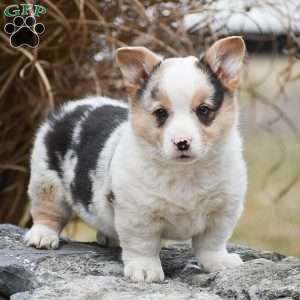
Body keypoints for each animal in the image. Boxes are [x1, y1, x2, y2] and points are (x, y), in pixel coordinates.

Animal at [25, 36, 246, 282]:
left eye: (204, 110)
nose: (182, 142)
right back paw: (42, 236)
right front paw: (145, 271)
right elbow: (143, 245)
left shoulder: (223, 211)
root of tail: (70, 107)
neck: (185, 172)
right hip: (46, 181)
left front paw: (220, 263)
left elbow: (212, 243)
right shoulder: (138, 214)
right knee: (47, 212)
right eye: (161, 113)